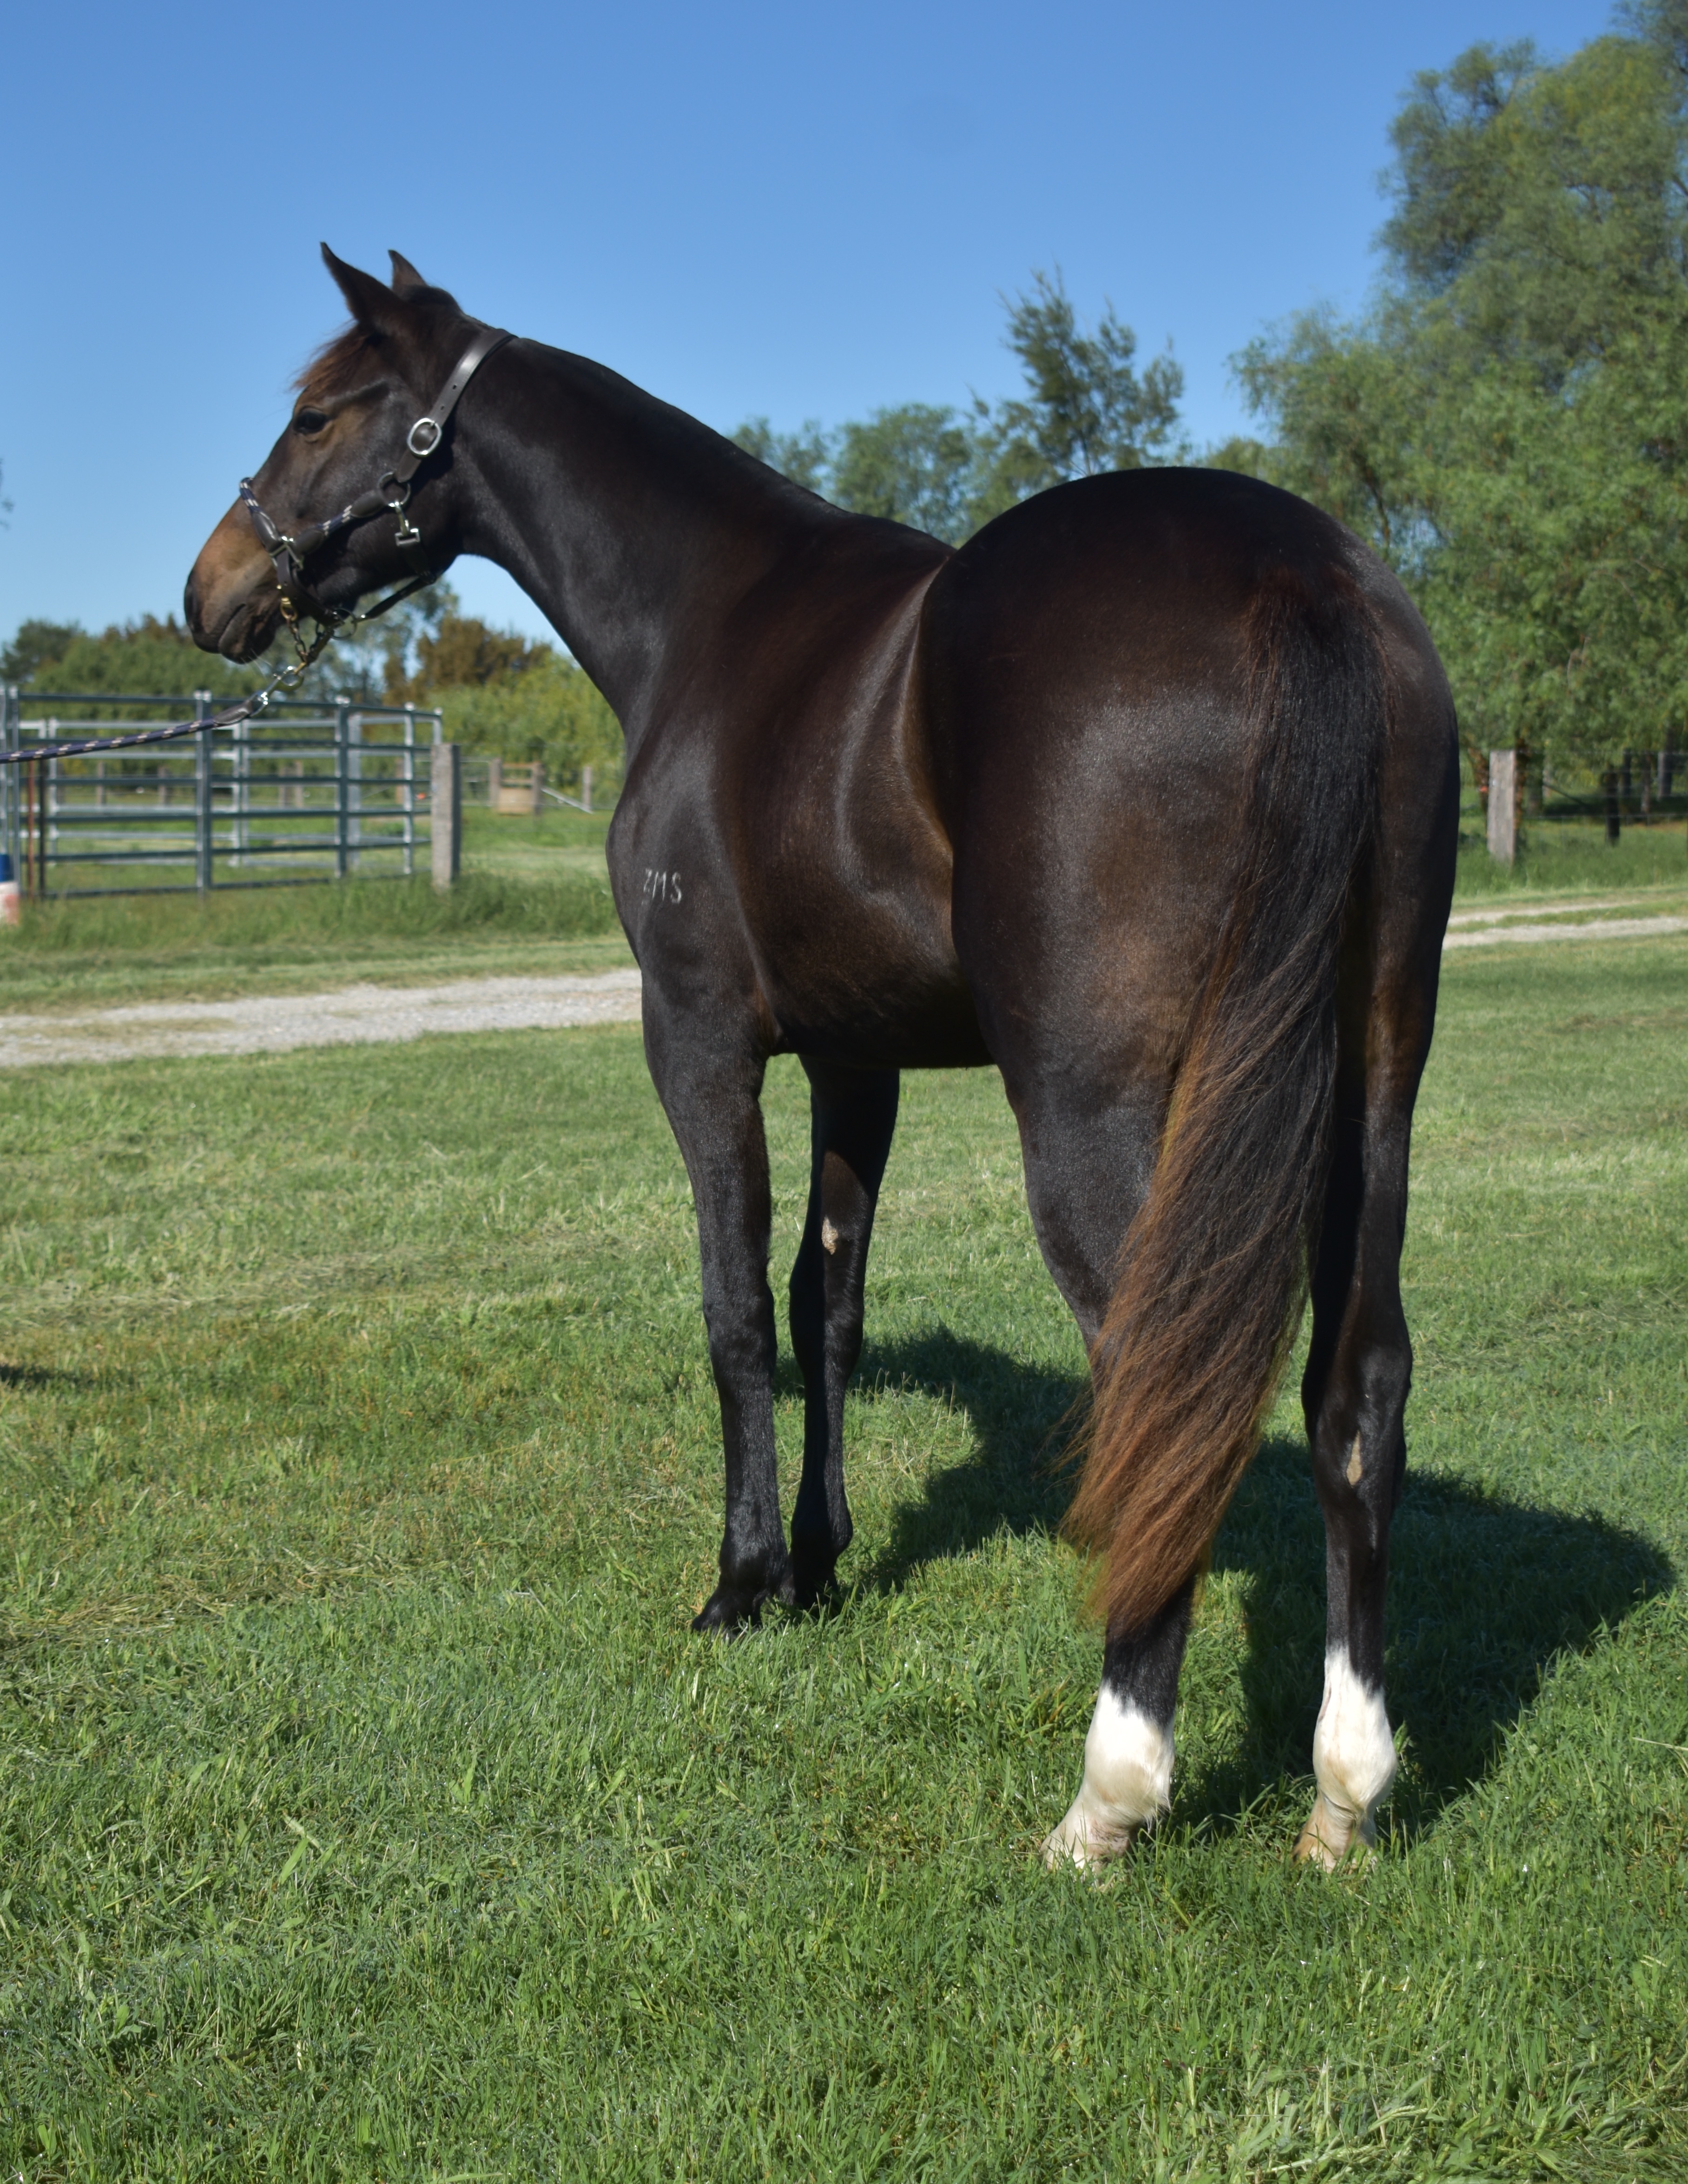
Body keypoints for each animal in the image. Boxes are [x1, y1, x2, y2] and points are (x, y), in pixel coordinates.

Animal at [186, 248, 1459, 1869]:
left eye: (322, 415)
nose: (212, 588)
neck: (713, 621)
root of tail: (1297, 568)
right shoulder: (863, 1065)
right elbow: (826, 1304)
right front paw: (820, 1560)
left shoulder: (700, 1038)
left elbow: (736, 1313)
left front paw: (741, 1585)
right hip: (1372, 1093)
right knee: (1356, 1394)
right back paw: (1343, 1791)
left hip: (1099, 1115)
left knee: (1160, 1386)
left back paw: (1109, 1795)